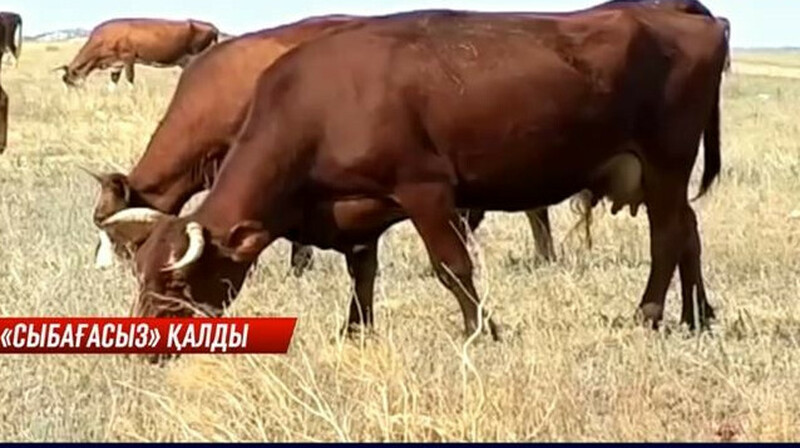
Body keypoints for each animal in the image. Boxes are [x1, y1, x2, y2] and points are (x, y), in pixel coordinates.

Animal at [56, 18, 220, 88]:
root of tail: (212, 27)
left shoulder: (128, 57)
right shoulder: (116, 63)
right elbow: (113, 82)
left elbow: (130, 78)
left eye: (70, 82)